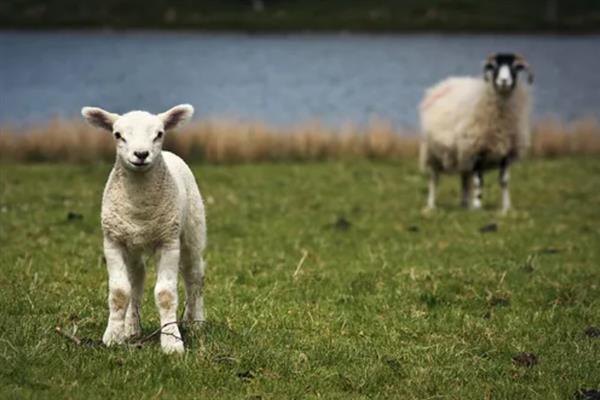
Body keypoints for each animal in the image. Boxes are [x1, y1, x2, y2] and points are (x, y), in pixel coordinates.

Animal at [81, 104, 206, 354]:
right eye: (117, 135)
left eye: (159, 134)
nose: (141, 154)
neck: (140, 210)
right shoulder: (113, 241)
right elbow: (120, 292)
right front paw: (113, 336)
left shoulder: (168, 242)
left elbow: (166, 294)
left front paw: (172, 342)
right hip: (132, 244)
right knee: (136, 281)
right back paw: (132, 328)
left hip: (191, 233)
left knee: (194, 277)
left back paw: (195, 322)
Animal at [418, 55, 536, 216]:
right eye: (493, 66)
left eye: (516, 67)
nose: (504, 81)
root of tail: (446, 82)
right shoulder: (477, 150)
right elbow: (479, 181)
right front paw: (478, 207)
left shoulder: (506, 152)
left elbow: (504, 181)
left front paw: (506, 208)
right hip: (433, 152)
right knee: (434, 178)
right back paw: (431, 205)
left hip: (462, 153)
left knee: (464, 177)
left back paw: (464, 204)